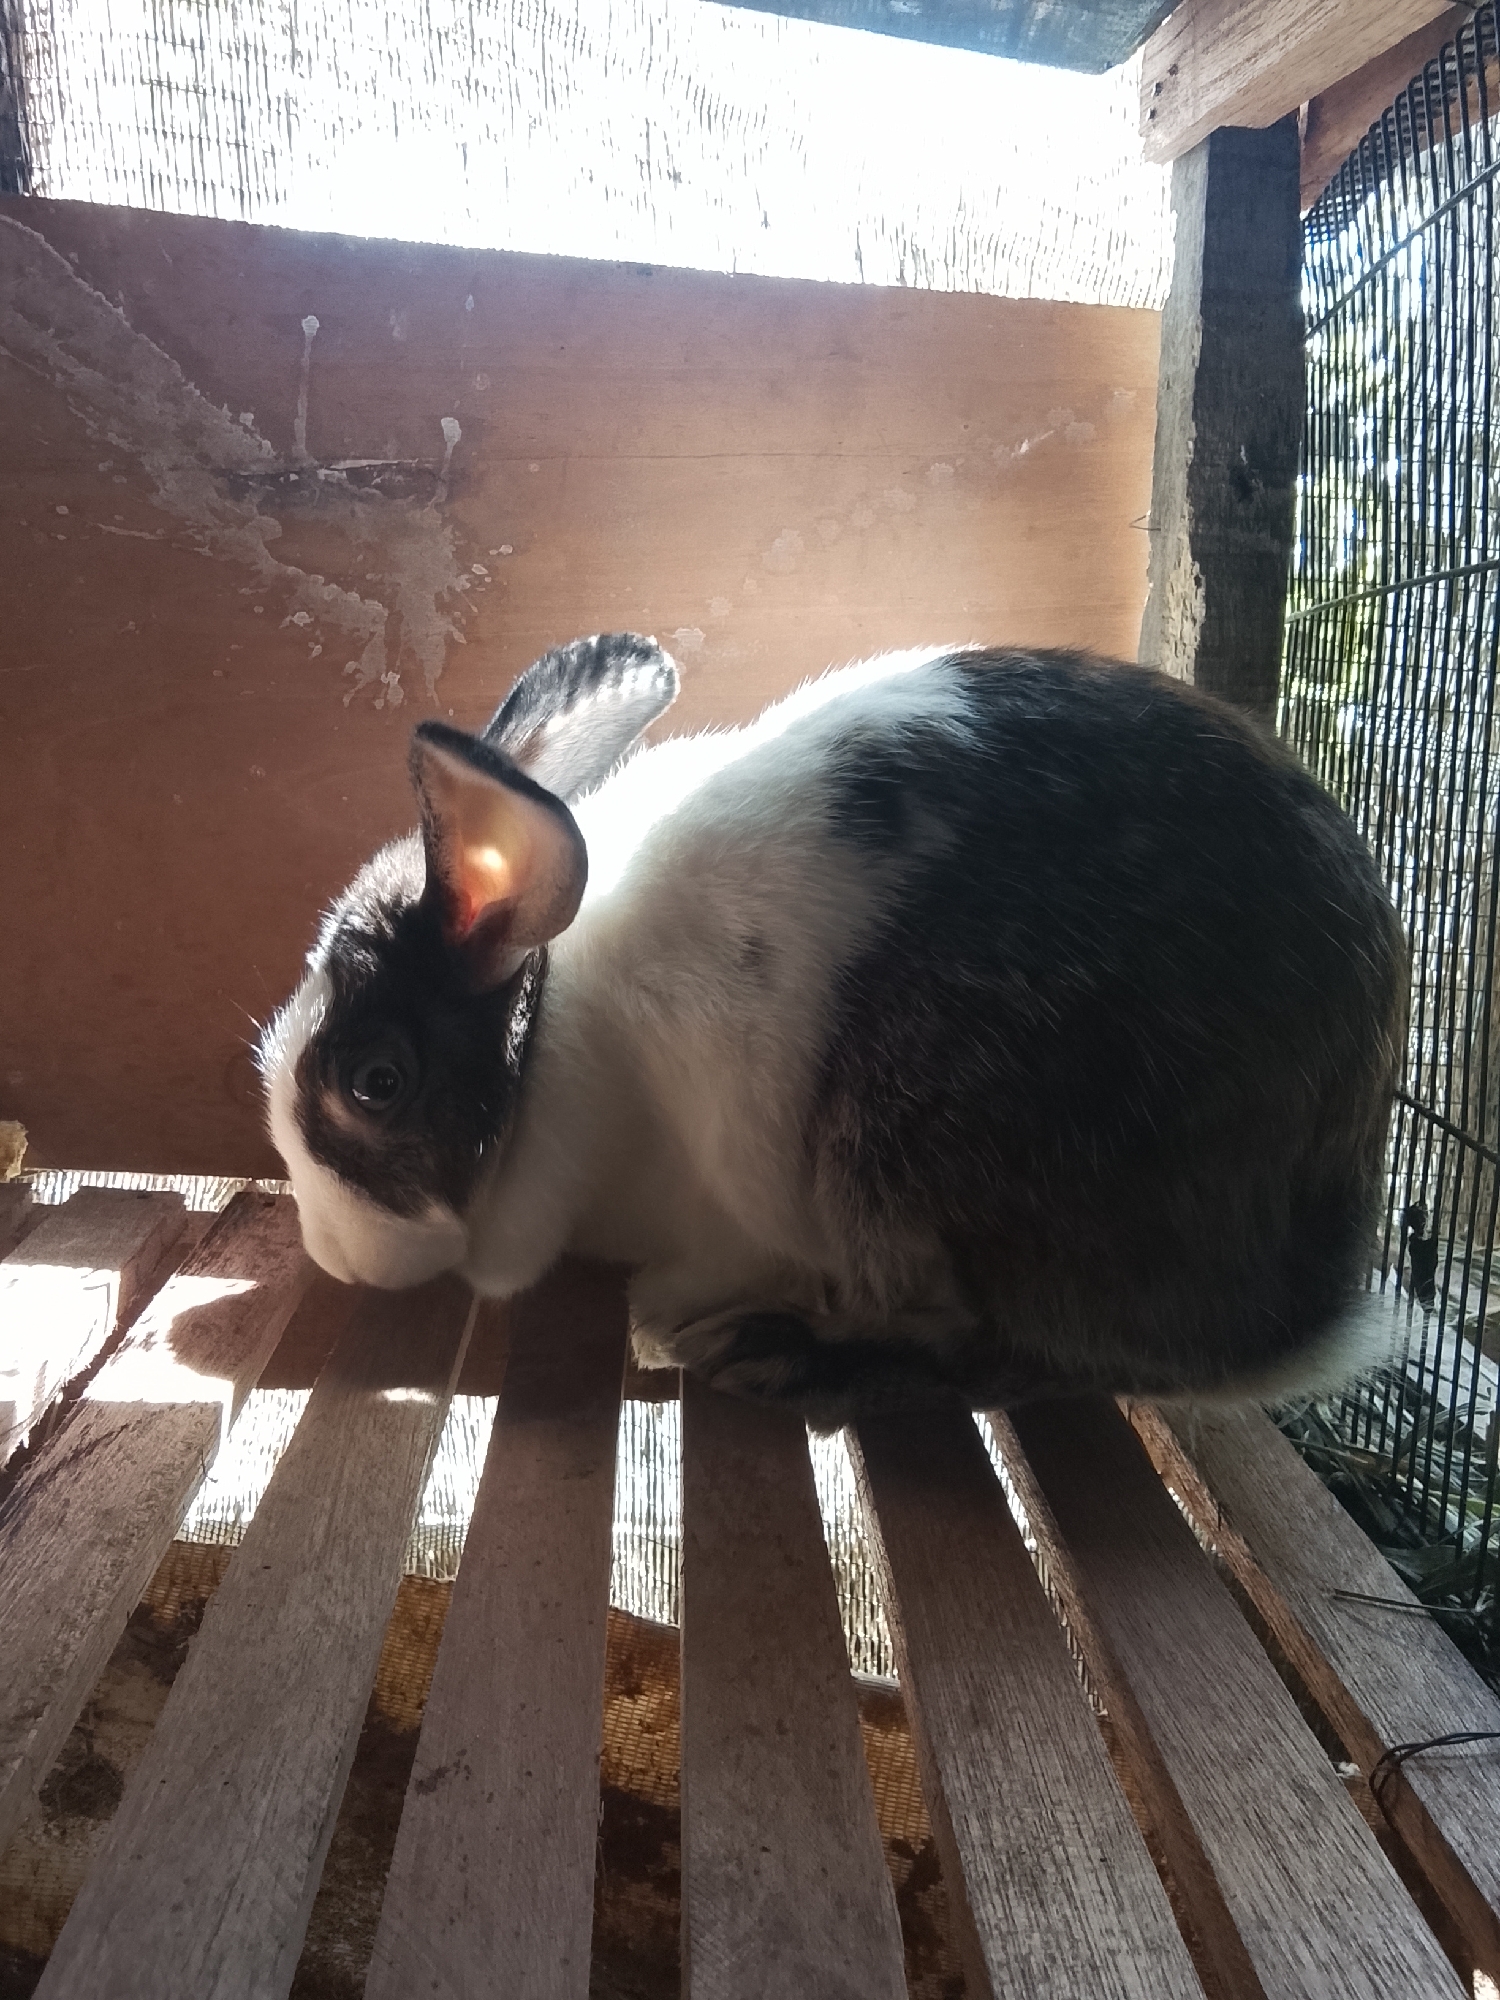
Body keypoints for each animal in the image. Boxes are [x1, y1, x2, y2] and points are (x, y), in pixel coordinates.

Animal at [260, 632, 1408, 1426]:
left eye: (374, 1083)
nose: (331, 1255)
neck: (559, 1041)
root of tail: (1303, 1298)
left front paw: (673, 1322)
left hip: (923, 1153)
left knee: (1023, 1356)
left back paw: (782, 1355)